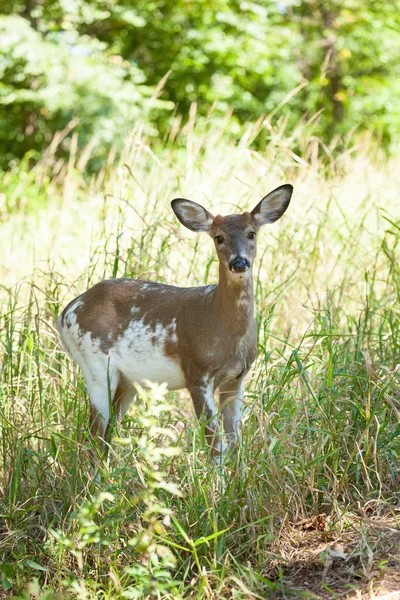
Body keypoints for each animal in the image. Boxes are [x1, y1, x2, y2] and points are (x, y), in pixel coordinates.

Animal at [57, 185, 294, 462]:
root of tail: (66, 312)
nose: (239, 262)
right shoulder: (196, 373)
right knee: (94, 437)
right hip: (95, 364)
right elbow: (216, 447)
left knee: (107, 435)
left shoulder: (237, 377)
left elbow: (236, 443)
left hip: (128, 381)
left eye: (251, 233)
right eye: (219, 237)